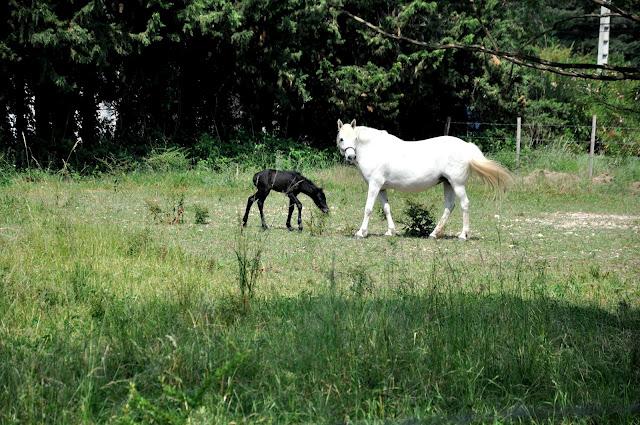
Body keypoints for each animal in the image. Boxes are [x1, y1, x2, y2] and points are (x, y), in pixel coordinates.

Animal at [338, 119, 512, 238]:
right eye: (341, 139)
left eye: (355, 139)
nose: (350, 156)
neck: (374, 148)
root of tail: (466, 146)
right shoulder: (382, 187)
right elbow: (386, 208)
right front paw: (390, 231)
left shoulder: (374, 185)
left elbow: (368, 208)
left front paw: (361, 232)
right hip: (448, 184)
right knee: (449, 206)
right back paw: (434, 233)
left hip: (457, 184)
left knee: (464, 204)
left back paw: (463, 235)